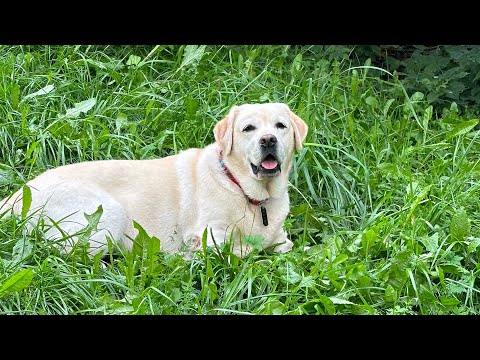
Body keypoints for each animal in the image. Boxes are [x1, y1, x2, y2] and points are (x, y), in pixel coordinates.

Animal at [0, 102, 308, 258]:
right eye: (248, 128)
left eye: (280, 126)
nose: (268, 140)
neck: (246, 191)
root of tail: (13, 198)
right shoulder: (209, 235)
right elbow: (236, 251)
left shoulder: (279, 237)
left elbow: (288, 246)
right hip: (108, 213)